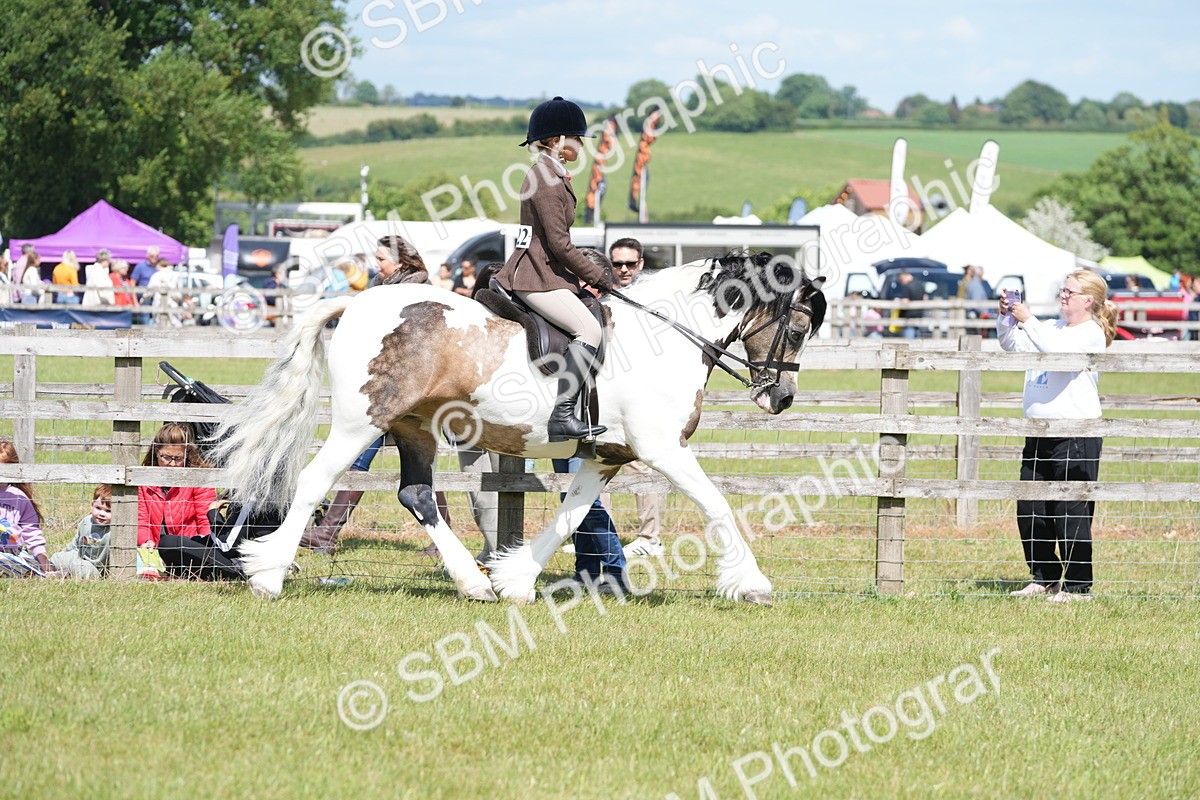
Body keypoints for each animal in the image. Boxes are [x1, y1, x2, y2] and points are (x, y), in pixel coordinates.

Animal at [211, 251, 827, 604]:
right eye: (797, 328)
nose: (782, 398)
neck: (666, 335)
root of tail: (355, 305)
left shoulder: (607, 456)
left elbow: (571, 515)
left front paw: (516, 581)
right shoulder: (662, 450)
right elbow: (716, 503)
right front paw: (752, 584)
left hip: (415, 428)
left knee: (417, 495)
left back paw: (474, 583)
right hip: (361, 421)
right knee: (315, 481)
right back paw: (267, 576)